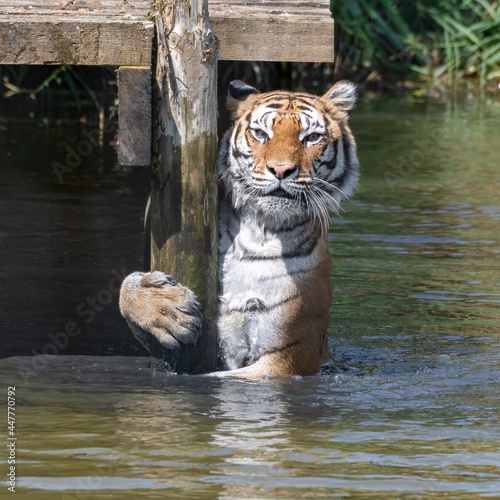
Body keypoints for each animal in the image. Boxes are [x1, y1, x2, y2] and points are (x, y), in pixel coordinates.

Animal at [118, 79, 360, 376]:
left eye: (312, 137)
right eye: (260, 133)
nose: (281, 170)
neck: (258, 232)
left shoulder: (288, 355)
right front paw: (164, 308)